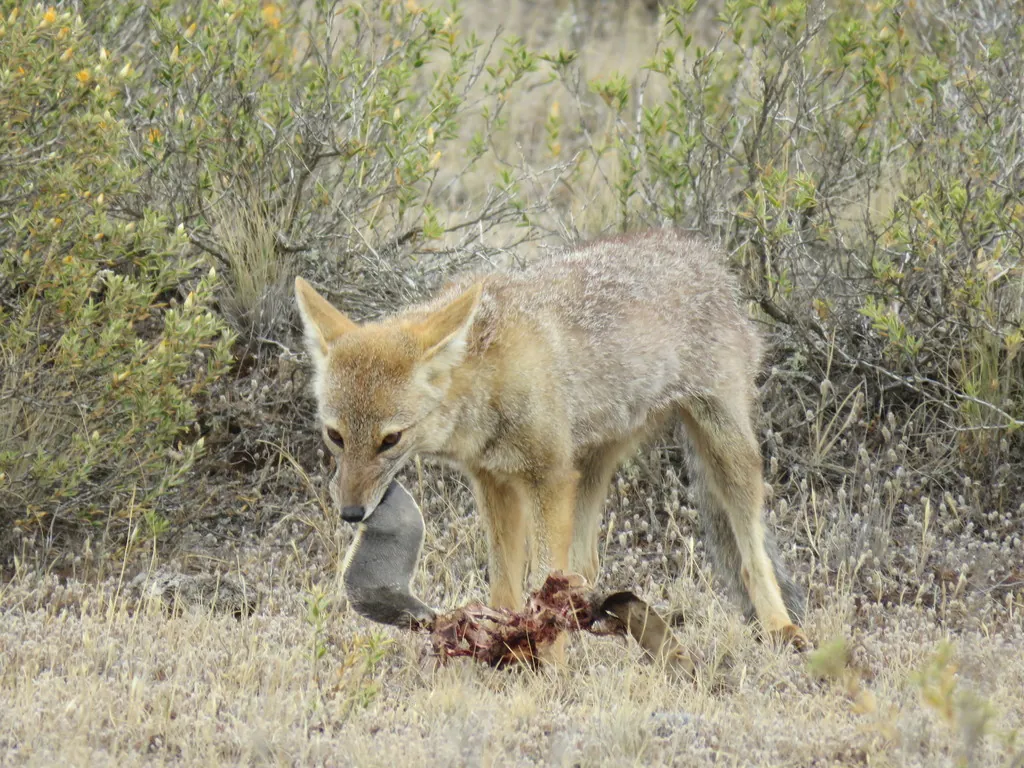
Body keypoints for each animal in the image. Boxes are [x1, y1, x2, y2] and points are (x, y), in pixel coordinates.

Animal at [294, 228, 809, 652]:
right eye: (335, 436)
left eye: (390, 440)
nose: (351, 512)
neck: (487, 378)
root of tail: (706, 256)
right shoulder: (496, 483)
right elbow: (506, 590)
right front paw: (507, 652)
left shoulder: (548, 478)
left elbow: (544, 586)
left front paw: (548, 665)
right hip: (592, 465)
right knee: (587, 566)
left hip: (727, 455)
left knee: (751, 553)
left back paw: (781, 626)